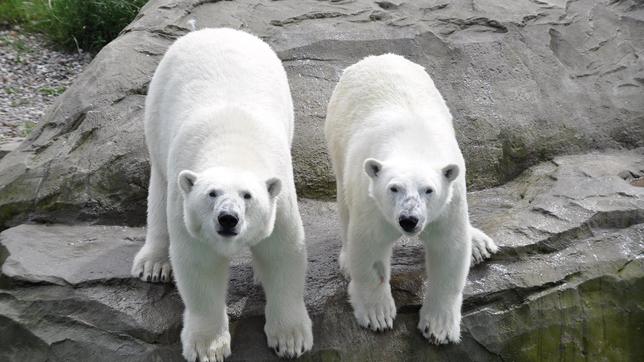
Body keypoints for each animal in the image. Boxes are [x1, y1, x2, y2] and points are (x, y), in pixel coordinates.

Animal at [130, 29, 312, 362]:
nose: (228, 219)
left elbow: (283, 252)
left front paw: (290, 339)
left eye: (248, 196)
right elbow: (199, 263)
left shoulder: (281, 201)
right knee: (160, 188)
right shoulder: (187, 208)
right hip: (157, 107)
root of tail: (214, 30)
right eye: (211, 194)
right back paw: (153, 264)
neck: (234, 146)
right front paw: (208, 347)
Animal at [328, 54, 498, 346]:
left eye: (428, 190)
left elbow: (449, 247)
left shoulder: (449, 201)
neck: (413, 144)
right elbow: (370, 247)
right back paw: (347, 260)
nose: (409, 220)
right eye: (394, 188)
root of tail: (375, 57)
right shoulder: (372, 200)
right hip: (338, 139)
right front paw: (378, 315)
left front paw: (438, 327)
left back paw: (479, 244)